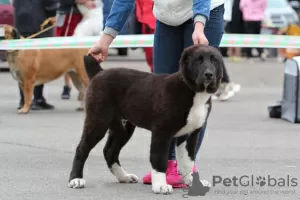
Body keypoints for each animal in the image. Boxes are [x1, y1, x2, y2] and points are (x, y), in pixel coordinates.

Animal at [68, 43, 223, 194]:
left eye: (214, 60)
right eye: (198, 60)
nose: (209, 74)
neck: (193, 92)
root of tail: (99, 72)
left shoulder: (190, 135)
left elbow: (188, 161)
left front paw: (192, 182)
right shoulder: (162, 132)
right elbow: (159, 158)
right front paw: (160, 185)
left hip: (123, 128)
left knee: (110, 151)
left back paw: (124, 177)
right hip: (98, 120)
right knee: (82, 149)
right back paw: (76, 179)